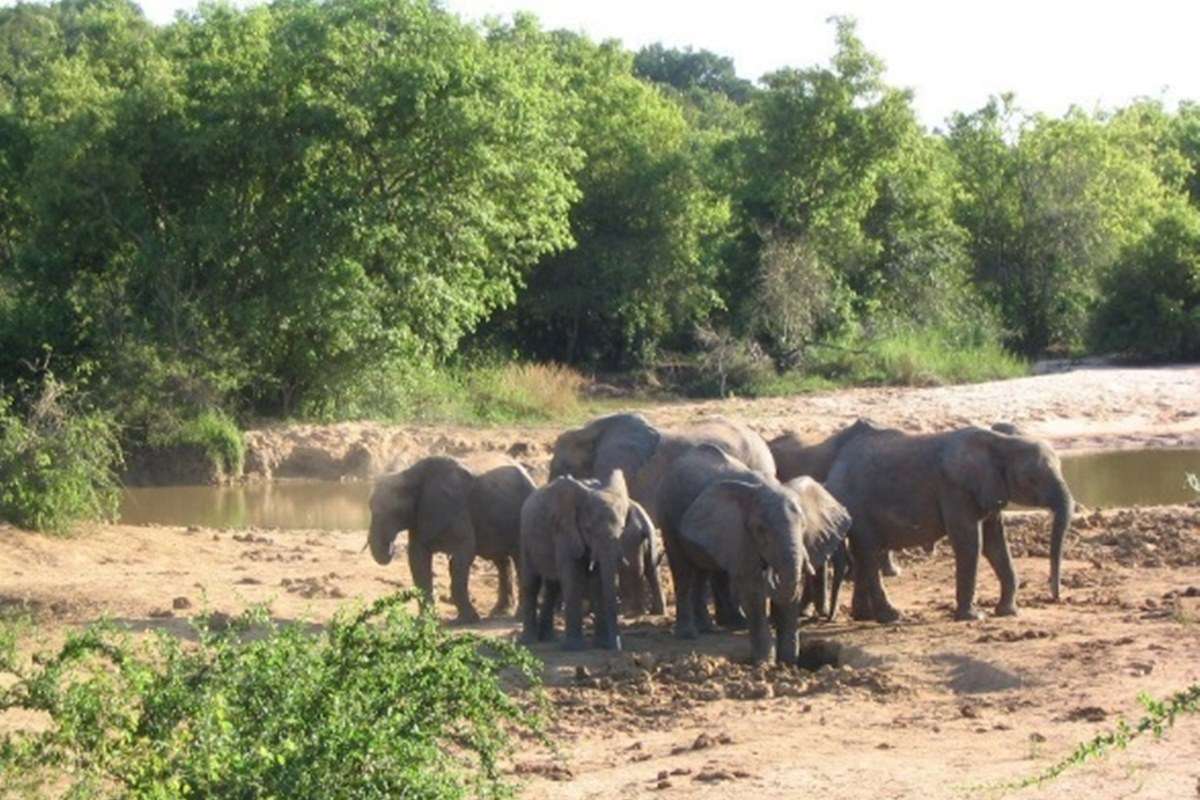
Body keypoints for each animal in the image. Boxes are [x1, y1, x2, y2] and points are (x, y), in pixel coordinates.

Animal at [364, 453, 535, 623]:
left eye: (394, 511)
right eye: (370, 507)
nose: (390, 548)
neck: (411, 475)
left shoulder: (455, 510)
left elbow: (461, 557)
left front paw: (469, 620)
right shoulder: (420, 517)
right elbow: (417, 561)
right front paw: (426, 621)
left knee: (519, 559)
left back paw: (518, 617)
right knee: (501, 560)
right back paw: (500, 612)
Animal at [518, 470, 633, 652]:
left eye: (622, 528)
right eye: (588, 529)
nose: (617, 647)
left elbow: (598, 582)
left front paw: (601, 644)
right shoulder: (564, 530)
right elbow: (572, 579)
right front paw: (574, 648)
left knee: (553, 587)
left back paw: (548, 638)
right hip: (525, 537)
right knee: (532, 583)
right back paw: (529, 641)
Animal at [657, 448, 854, 666]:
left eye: (804, 526)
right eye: (761, 530)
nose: (771, 573)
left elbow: (790, 591)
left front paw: (788, 661)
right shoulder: (740, 534)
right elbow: (752, 589)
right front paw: (764, 663)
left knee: (702, 571)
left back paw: (710, 628)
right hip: (667, 512)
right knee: (683, 571)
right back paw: (689, 634)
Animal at [825, 424, 1080, 623]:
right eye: (1032, 479)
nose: (1055, 596)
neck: (1002, 442)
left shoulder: (989, 489)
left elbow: (995, 544)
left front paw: (1007, 612)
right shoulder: (955, 488)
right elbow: (970, 543)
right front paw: (974, 617)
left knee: (863, 556)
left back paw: (864, 617)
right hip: (857, 508)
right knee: (869, 555)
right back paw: (892, 617)